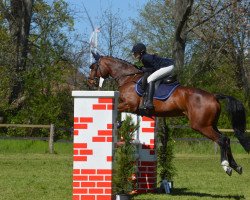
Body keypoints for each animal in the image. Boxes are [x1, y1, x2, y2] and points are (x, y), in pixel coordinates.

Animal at [87, 51, 249, 175]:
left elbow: (118, 110)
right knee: (226, 139)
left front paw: (118, 124)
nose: (90, 82)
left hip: (201, 126)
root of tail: (214, 96)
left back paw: (226, 166)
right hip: (210, 124)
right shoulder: (130, 107)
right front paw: (119, 124)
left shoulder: (129, 105)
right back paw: (236, 166)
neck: (128, 78)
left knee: (221, 140)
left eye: (93, 66)